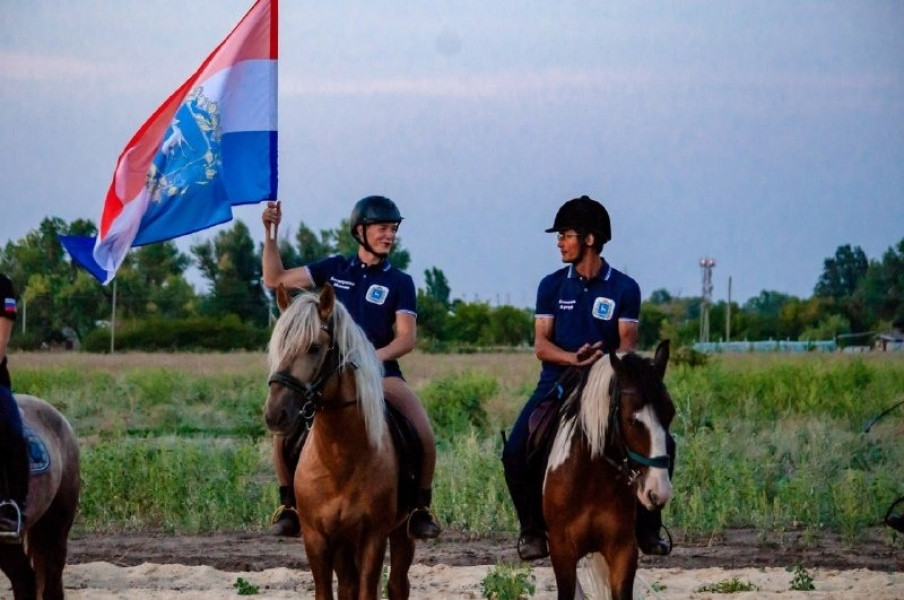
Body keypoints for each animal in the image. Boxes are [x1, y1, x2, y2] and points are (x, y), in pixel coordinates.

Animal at [264, 284, 414, 600]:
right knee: (347, 585)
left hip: (401, 531)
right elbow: (327, 591)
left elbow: (368, 590)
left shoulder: (373, 535)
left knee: (397, 584)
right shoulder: (316, 537)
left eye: (314, 347)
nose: (275, 415)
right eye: (278, 347)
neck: (339, 459)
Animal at [540, 342, 676, 600]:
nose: (658, 492)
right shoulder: (562, 550)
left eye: (670, 413)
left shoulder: (623, 548)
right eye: (632, 420)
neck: (591, 481)